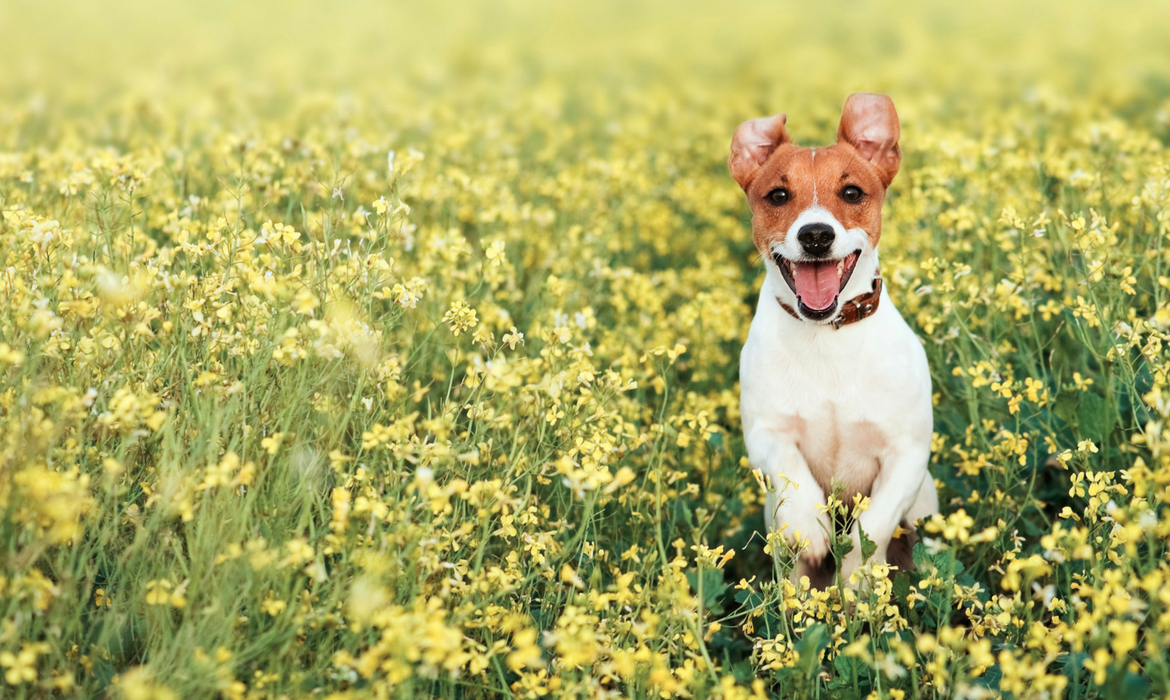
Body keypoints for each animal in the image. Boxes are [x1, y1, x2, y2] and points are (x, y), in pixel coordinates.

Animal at [730, 91, 940, 587]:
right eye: (778, 195)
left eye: (852, 193)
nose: (816, 235)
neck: (826, 335)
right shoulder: (766, 434)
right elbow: (793, 475)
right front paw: (812, 526)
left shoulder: (907, 454)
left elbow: (874, 524)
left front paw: (857, 575)